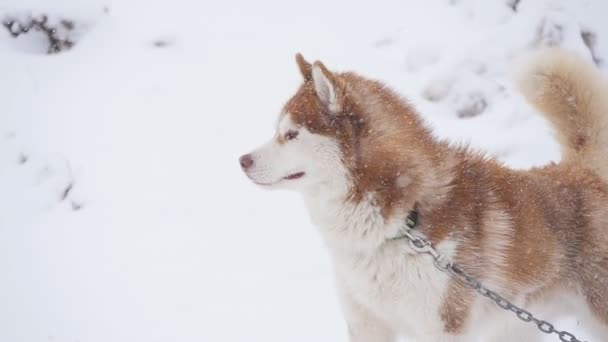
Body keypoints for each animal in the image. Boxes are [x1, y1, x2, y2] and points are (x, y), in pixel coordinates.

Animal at [238, 48, 608, 342]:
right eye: (277, 131)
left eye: (291, 134)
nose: (242, 160)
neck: (402, 223)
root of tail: (582, 172)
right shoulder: (367, 324)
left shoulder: (442, 327)